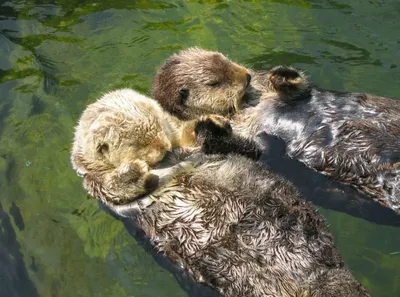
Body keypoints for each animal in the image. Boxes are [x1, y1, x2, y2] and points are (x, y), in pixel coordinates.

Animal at [70, 89, 370, 296]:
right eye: (139, 144)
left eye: (162, 128)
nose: (165, 148)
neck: (169, 160)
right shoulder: (100, 191)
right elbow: (114, 189)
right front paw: (134, 170)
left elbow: (247, 148)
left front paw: (210, 124)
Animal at [152, 47, 400, 216]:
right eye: (214, 83)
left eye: (224, 57)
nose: (246, 76)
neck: (250, 103)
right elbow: (254, 150)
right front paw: (210, 125)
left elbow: (300, 89)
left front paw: (282, 75)